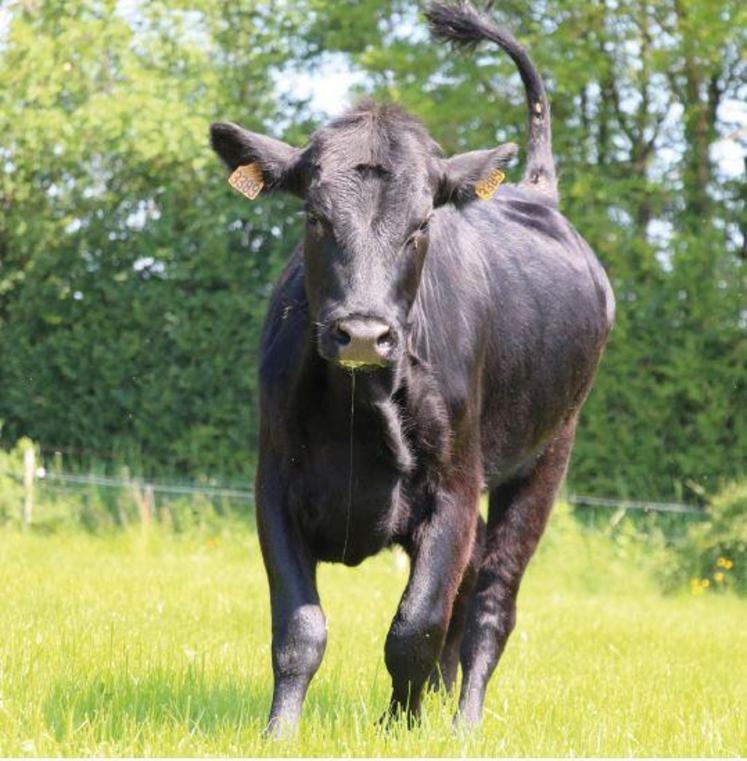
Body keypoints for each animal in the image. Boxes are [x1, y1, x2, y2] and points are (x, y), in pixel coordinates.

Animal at [210, 0, 612, 736]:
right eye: (314, 215)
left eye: (422, 223)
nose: (364, 332)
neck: (356, 410)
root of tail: (537, 193)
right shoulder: (272, 480)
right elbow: (299, 630)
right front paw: (279, 731)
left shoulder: (452, 485)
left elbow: (415, 627)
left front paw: (400, 726)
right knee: (472, 582)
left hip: (548, 454)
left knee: (490, 601)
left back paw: (464, 724)